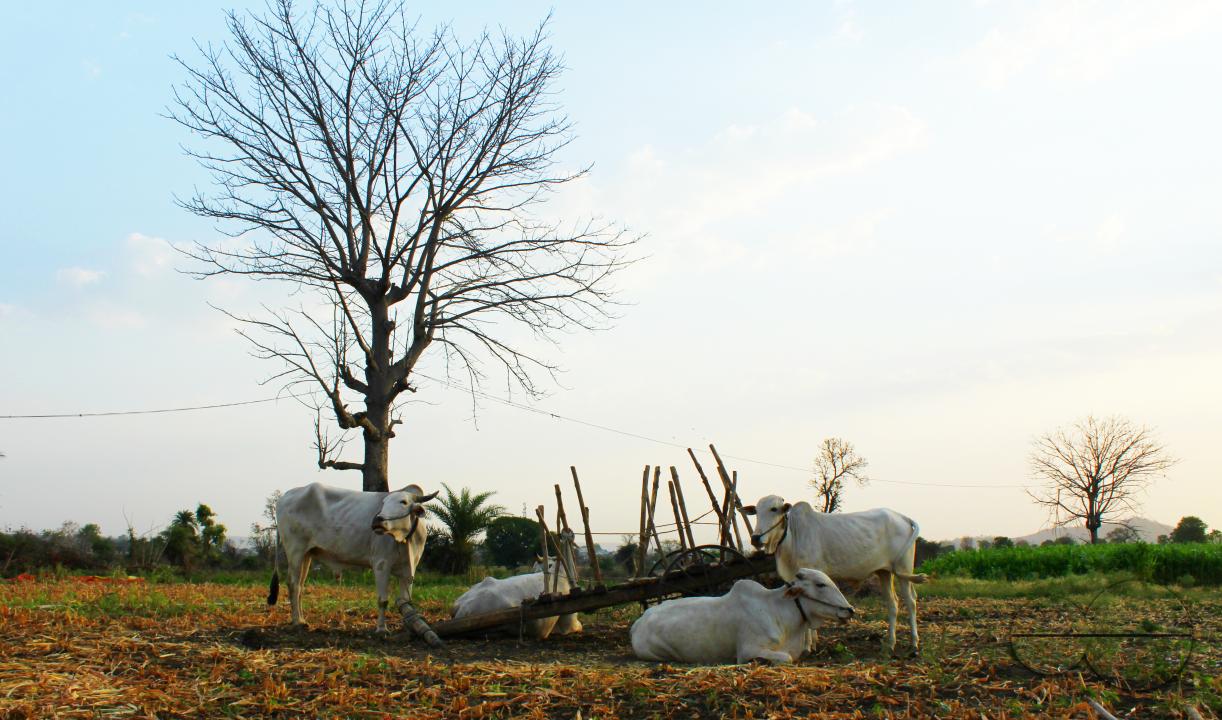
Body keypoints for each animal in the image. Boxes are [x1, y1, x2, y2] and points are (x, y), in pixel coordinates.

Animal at [268, 482, 438, 632]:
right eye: (383, 503)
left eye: (403, 502)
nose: (377, 520)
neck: (405, 539)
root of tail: (285, 497)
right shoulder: (381, 565)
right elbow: (383, 600)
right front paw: (381, 629)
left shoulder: (409, 570)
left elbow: (405, 602)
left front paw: (408, 628)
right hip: (295, 551)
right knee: (293, 584)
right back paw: (297, 621)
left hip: (306, 555)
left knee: (300, 587)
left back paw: (302, 619)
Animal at [744, 495, 927, 655]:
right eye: (756, 511)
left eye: (774, 509)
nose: (755, 538)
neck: (793, 536)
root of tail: (902, 517)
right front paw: (813, 643)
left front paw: (807, 647)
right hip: (885, 572)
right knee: (893, 603)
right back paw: (890, 644)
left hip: (903, 570)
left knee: (910, 601)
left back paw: (914, 644)